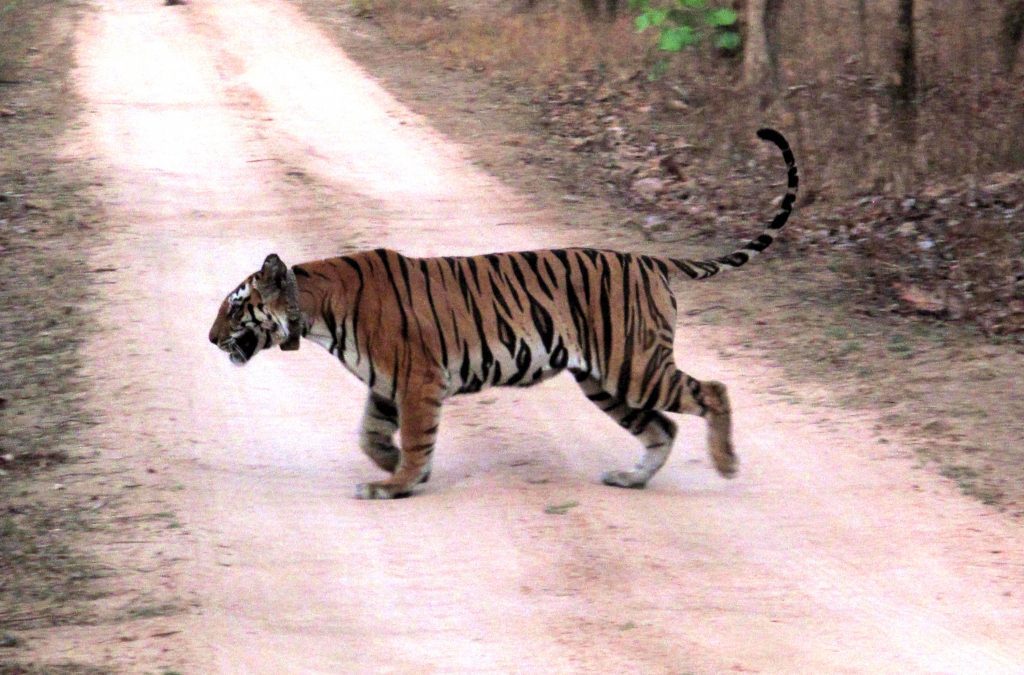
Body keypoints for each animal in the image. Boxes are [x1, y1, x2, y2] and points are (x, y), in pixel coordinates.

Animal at [209, 129, 798, 501]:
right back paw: (631, 479)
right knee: (662, 428)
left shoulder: (417, 379)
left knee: (713, 391)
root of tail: (647, 258)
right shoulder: (387, 383)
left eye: (235, 305)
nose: (211, 339)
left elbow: (415, 437)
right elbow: (369, 435)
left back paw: (726, 464)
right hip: (605, 379)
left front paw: (398, 483)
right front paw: (394, 470)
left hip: (633, 365)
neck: (316, 311)